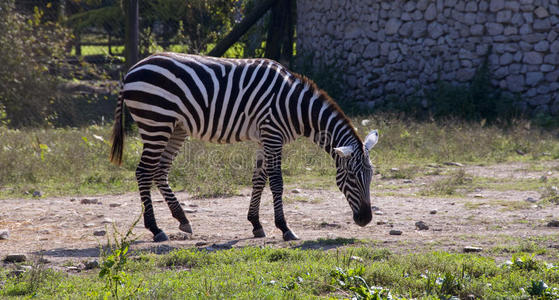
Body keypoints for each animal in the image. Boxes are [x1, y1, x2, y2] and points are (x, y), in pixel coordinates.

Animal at [109, 52, 380, 243]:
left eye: (371, 177)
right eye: (352, 177)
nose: (365, 219)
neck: (295, 106)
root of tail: (132, 70)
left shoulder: (263, 138)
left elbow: (259, 179)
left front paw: (256, 224)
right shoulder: (272, 134)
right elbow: (277, 181)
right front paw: (285, 228)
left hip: (175, 128)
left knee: (160, 171)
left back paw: (182, 219)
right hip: (156, 122)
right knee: (143, 172)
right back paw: (155, 229)